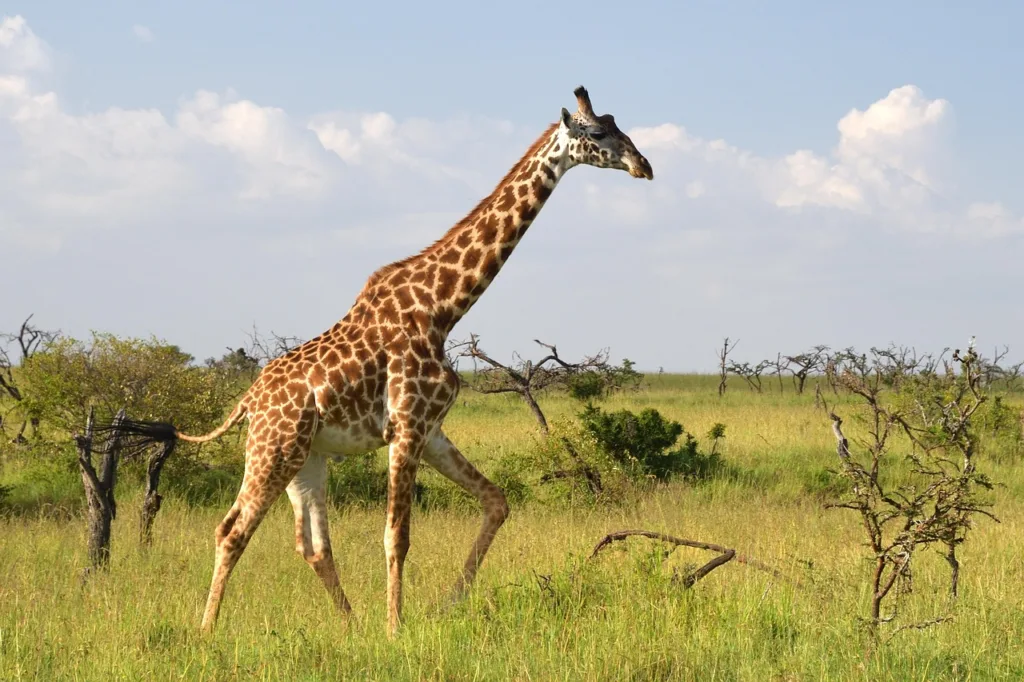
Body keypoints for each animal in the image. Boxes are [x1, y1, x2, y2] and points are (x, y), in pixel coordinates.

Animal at [99, 85, 654, 638]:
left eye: (618, 124)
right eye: (598, 132)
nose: (643, 165)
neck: (443, 308)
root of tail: (248, 401)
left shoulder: (431, 429)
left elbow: (497, 502)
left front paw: (446, 604)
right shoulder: (406, 427)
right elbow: (396, 536)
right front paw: (396, 628)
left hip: (307, 459)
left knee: (312, 545)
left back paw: (350, 624)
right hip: (271, 451)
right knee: (232, 529)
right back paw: (207, 629)